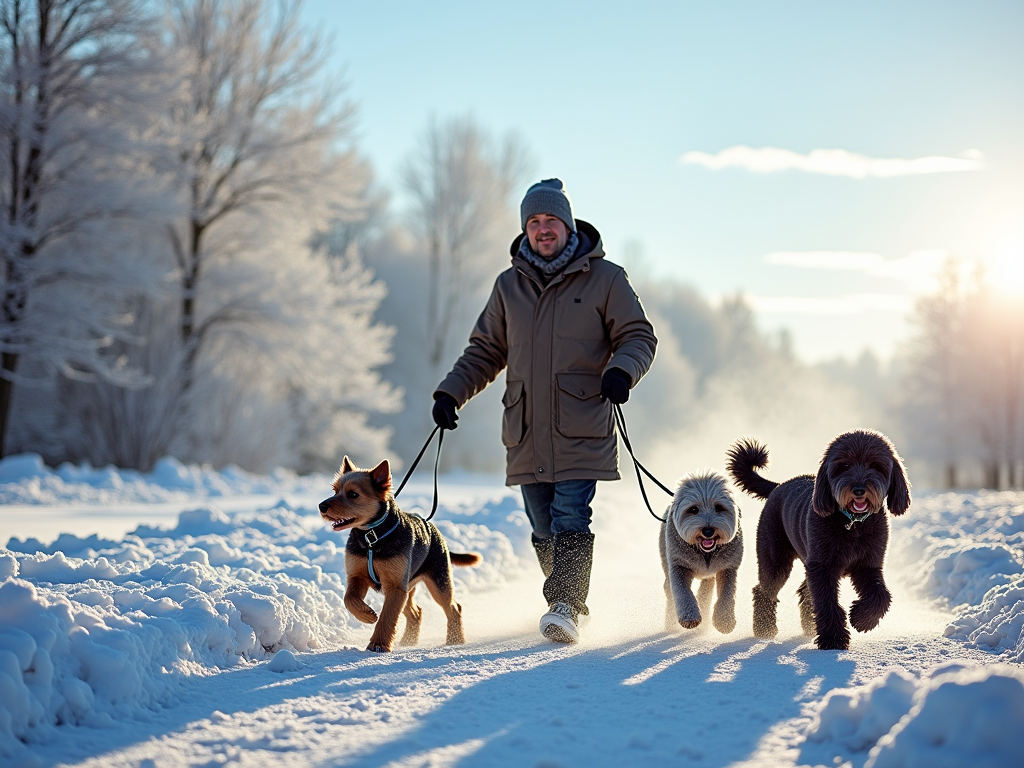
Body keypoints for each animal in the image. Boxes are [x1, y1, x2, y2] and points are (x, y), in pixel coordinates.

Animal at [659, 473, 741, 634]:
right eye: (693, 509)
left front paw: (724, 621)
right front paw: (689, 618)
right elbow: (682, 591)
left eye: (719, 507)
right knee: (669, 589)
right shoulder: (678, 565)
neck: (705, 553)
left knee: (707, 586)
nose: (708, 531)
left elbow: (728, 593)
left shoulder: (728, 567)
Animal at [729, 430, 913, 651]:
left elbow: (881, 595)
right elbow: (827, 603)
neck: (852, 524)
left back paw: (808, 626)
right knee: (764, 590)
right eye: (844, 465)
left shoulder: (867, 565)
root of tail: (778, 486)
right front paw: (833, 639)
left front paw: (861, 620)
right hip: (775, 558)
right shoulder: (823, 568)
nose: (859, 489)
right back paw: (765, 629)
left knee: (804, 590)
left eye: (876, 465)